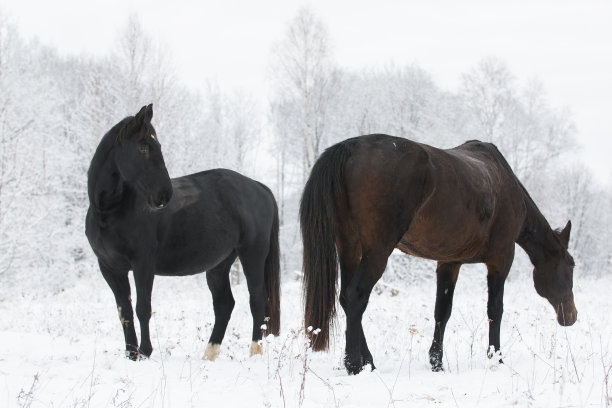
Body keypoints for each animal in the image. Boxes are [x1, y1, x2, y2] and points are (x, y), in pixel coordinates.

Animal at [85, 105, 280, 360]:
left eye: (157, 145)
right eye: (143, 147)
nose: (163, 195)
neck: (110, 211)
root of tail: (259, 187)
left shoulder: (143, 264)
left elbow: (142, 308)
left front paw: (145, 352)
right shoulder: (110, 268)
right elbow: (124, 311)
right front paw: (131, 354)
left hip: (252, 255)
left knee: (257, 298)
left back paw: (255, 351)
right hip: (219, 265)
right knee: (224, 305)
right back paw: (209, 354)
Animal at [302, 135, 580, 376]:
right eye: (571, 265)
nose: (571, 316)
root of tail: (351, 147)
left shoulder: (449, 262)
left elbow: (442, 312)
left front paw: (437, 362)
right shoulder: (501, 260)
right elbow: (495, 309)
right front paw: (497, 358)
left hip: (349, 247)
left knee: (346, 299)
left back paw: (367, 361)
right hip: (377, 251)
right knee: (356, 296)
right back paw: (354, 365)